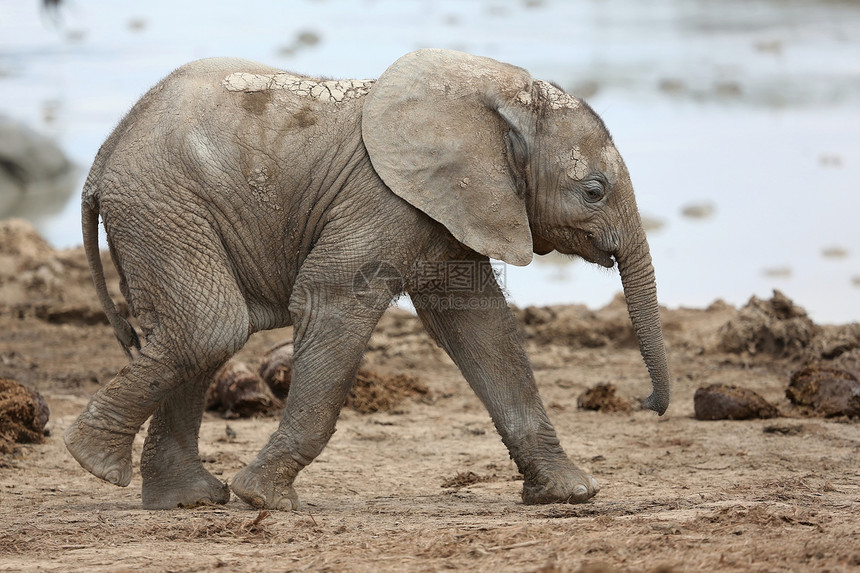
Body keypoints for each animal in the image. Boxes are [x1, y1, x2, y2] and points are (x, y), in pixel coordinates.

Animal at [67, 47, 672, 508]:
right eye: (593, 191)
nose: (647, 404)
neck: (497, 98)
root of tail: (104, 155)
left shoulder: (449, 207)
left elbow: (482, 325)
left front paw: (569, 494)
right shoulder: (383, 200)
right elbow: (330, 300)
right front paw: (265, 499)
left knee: (195, 336)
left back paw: (185, 499)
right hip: (162, 204)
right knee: (210, 329)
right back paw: (94, 462)